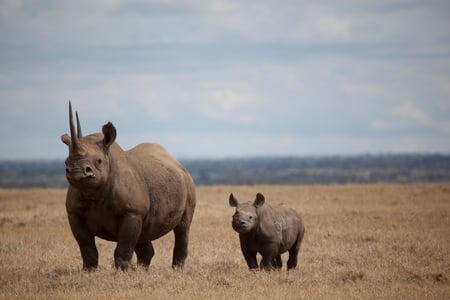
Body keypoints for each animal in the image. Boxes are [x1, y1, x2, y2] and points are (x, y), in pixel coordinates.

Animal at [59, 102, 195, 270]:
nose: (77, 172)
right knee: (144, 234)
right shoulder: (74, 213)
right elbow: (86, 247)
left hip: (188, 184)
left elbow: (124, 246)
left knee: (183, 227)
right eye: (66, 162)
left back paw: (177, 270)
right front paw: (88, 271)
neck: (95, 193)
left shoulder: (132, 212)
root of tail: (178, 163)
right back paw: (142, 270)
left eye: (98, 161)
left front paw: (123, 271)